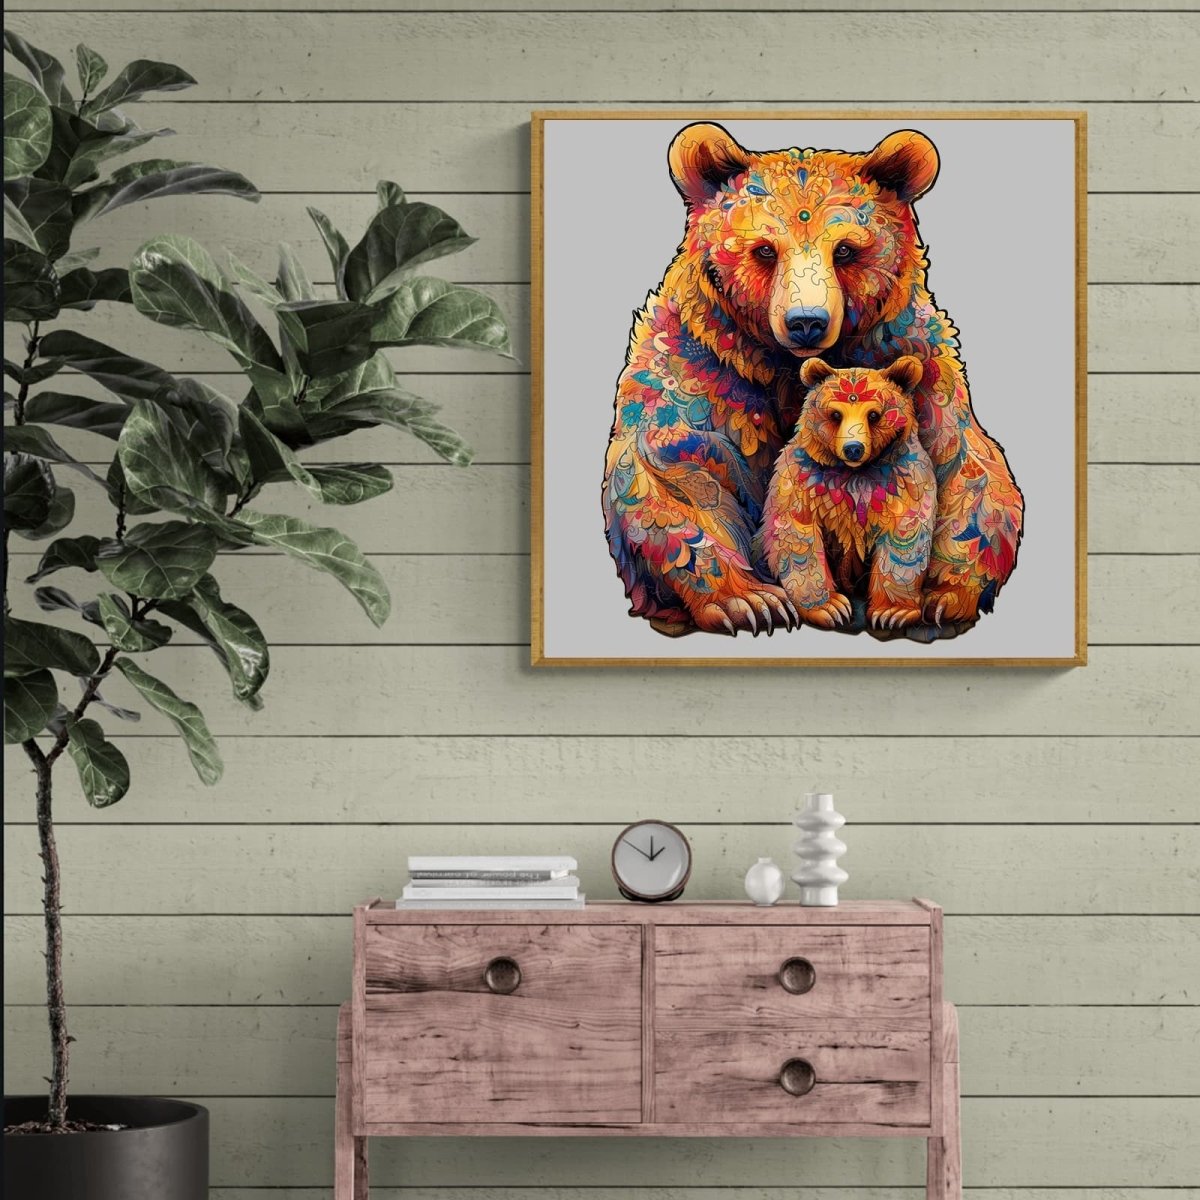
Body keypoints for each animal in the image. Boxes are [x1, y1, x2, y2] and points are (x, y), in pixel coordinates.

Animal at [761, 355, 936, 633]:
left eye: (874, 415)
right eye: (835, 414)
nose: (853, 448)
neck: (855, 473)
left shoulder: (901, 480)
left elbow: (904, 537)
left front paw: (892, 611)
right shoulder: (805, 479)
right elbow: (798, 535)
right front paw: (829, 607)